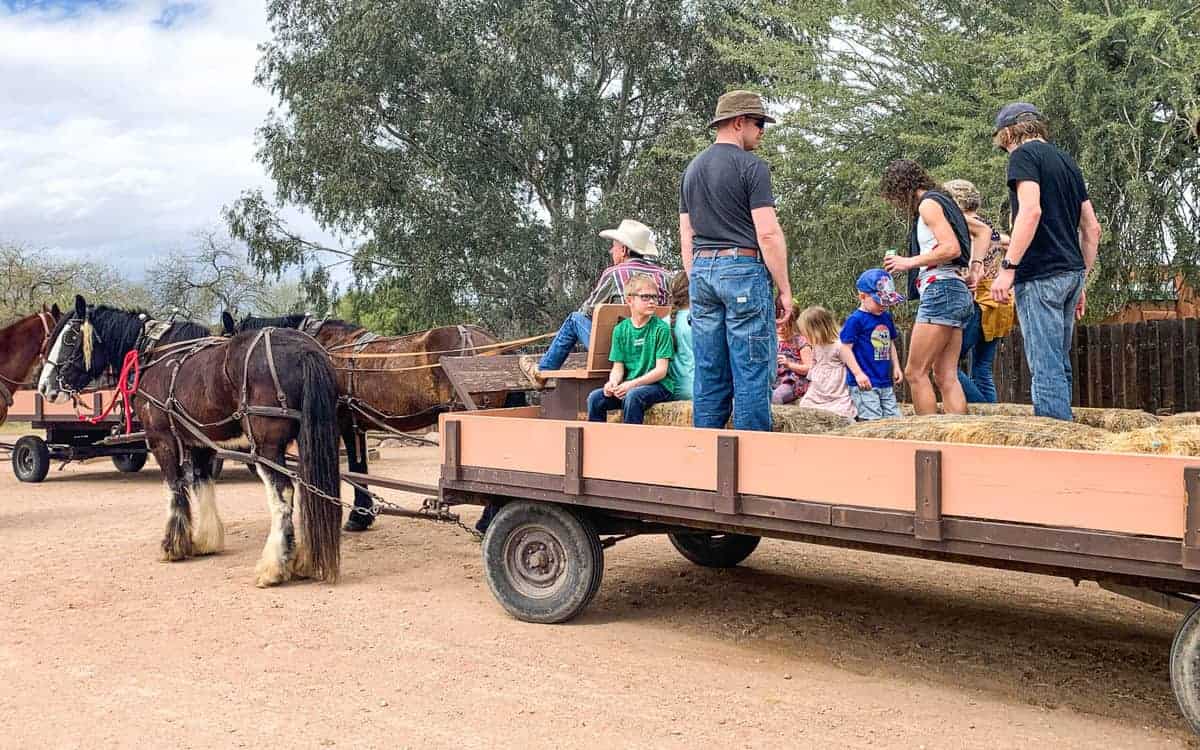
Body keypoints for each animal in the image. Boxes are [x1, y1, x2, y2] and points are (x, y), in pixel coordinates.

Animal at [38, 295, 343, 588]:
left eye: (69, 338)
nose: (44, 388)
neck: (153, 355)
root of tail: (305, 351)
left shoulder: (161, 439)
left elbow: (175, 487)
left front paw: (173, 546)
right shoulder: (200, 443)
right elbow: (201, 483)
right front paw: (207, 540)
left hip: (267, 448)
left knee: (283, 494)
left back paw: (274, 567)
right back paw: (304, 560)